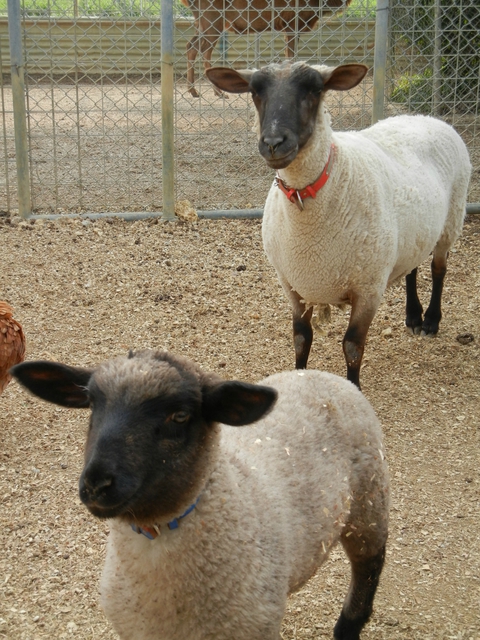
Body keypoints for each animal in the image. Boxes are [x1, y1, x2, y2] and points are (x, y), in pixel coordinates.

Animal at [11, 350, 390, 640]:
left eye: (180, 415)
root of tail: (323, 375)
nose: (96, 484)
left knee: (368, 570)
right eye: (91, 403)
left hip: (368, 503)